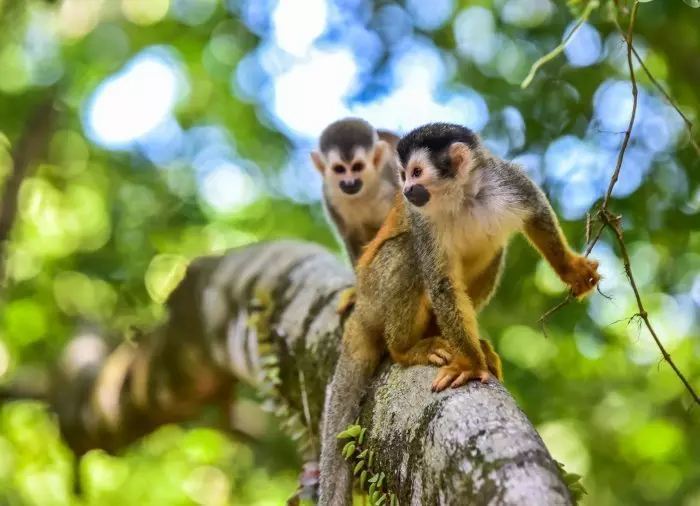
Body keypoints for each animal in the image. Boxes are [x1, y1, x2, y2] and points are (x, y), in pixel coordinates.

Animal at [318, 123, 601, 506]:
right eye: (403, 175)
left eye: (416, 173)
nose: (406, 191)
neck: (463, 197)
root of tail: (361, 305)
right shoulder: (423, 220)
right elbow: (441, 283)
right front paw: (469, 363)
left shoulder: (507, 181)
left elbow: (538, 214)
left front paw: (570, 269)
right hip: (375, 292)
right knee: (406, 251)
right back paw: (406, 348)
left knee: (495, 250)